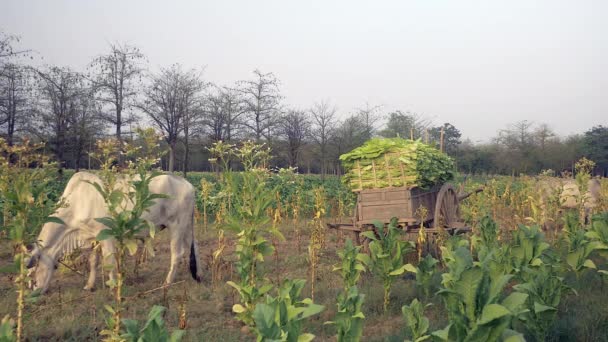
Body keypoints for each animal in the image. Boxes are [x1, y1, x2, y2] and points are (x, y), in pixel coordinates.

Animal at [26, 170, 202, 292]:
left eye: (32, 271)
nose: (34, 291)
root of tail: (188, 185)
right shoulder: (93, 237)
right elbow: (93, 261)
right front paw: (89, 286)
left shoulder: (106, 235)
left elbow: (109, 261)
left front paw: (113, 286)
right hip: (187, 226)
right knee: (194, 248)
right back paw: (198, 276)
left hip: (177, 226)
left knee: (177, 253)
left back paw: (167, 282)